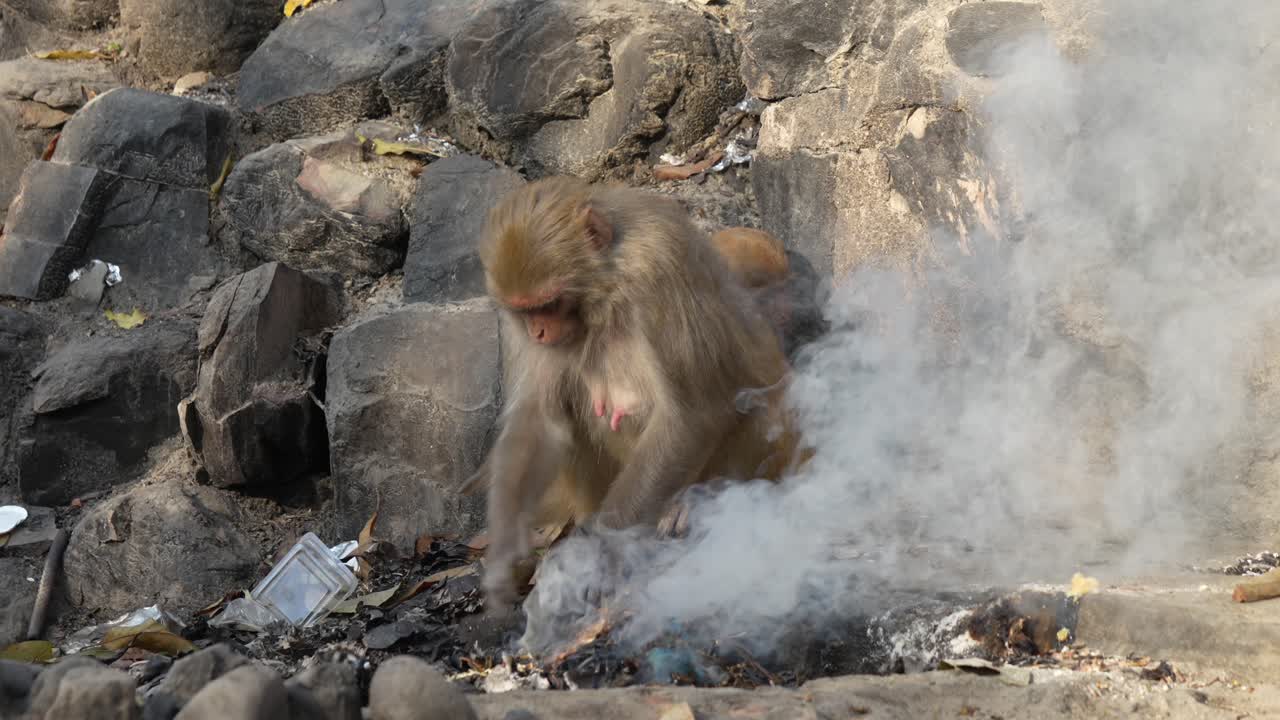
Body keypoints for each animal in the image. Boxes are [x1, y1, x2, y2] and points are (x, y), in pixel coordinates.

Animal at [473, 177, 810, 608]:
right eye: (526, 310)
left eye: (551, 303)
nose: (539, 332)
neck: (608, 283)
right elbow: (538, 421)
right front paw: (504, 549)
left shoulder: (659, 267)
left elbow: (692, 413)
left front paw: (600, 556)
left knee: (758, 408)